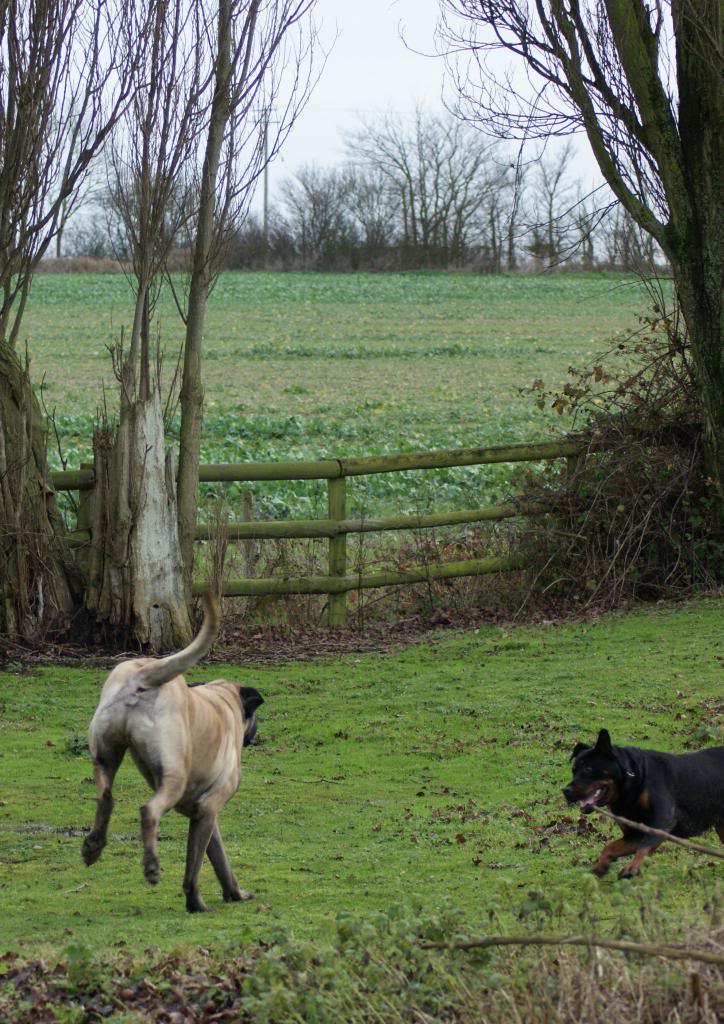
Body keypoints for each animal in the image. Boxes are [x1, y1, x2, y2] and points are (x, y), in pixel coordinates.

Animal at [82, 593, 264, 913]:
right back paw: (151, 866)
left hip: (106, 755)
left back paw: (94, 845)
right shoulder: (209, 807)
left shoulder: (205, 813)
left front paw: (234, 892)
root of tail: (145, 674)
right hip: (174, 777)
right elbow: (194, 867)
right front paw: (196, 902)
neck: (223, 700)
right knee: (149, 811)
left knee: (105, 798)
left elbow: (219, 859)